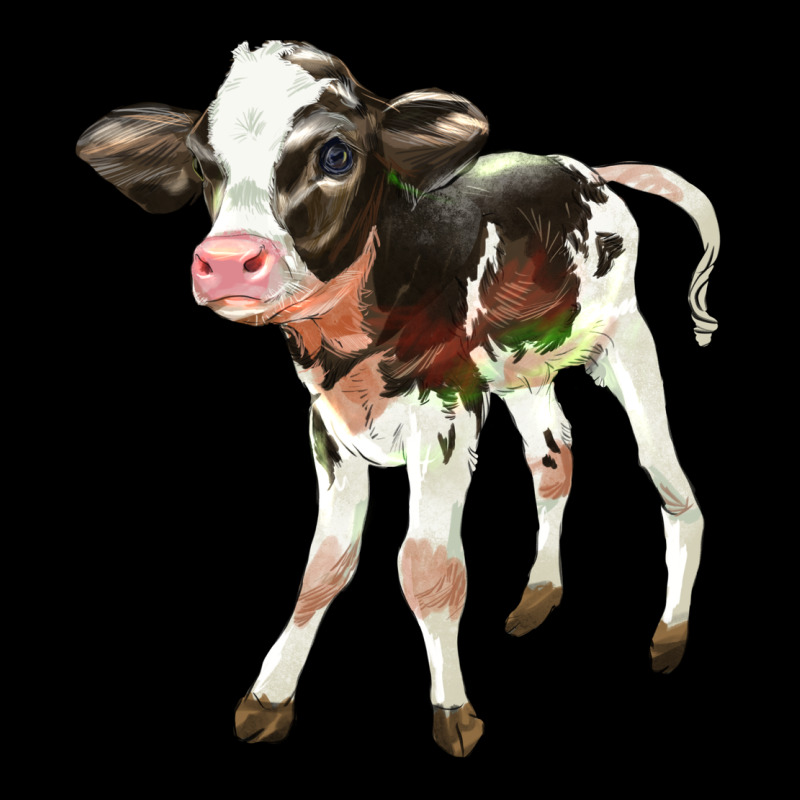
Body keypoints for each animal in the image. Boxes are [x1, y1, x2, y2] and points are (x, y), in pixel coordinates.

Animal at [77, 39, 719, 757]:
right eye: (200, 162)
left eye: (336, 154)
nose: (226, 261)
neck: (349, 346)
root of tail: (579, 166)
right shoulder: (328, 429)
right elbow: (323, 568)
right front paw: (269, 697)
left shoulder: (446, 417)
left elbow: (427, 571)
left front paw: (454, 713)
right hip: (521, 368)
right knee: (554, 461)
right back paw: (538, 594)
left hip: (622, 335)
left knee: (667, 480)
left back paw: (671, 634)